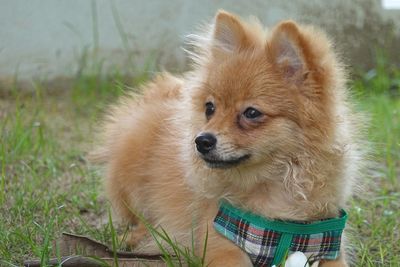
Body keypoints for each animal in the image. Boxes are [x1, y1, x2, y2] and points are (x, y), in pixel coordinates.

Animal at [97, 9, 362, 266]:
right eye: (210, 108)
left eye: (251, 113)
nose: (201, 140)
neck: (274, 186)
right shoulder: (221, 242)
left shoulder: (326, 243)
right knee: (137, 217)